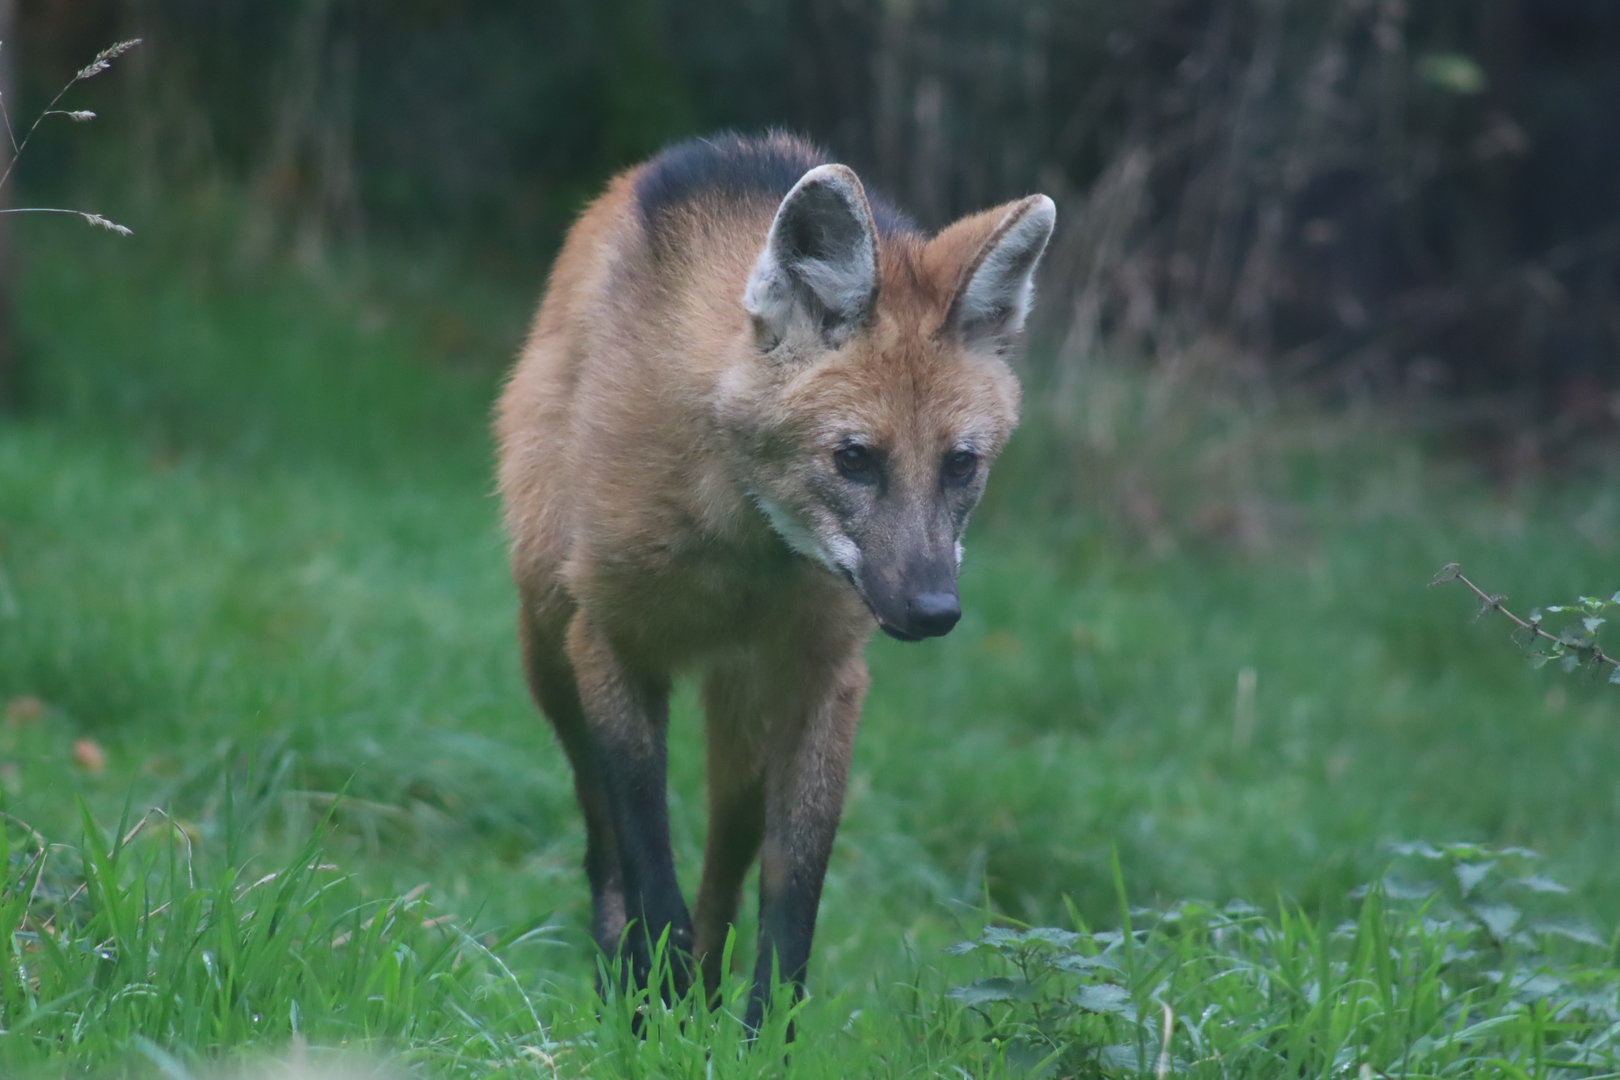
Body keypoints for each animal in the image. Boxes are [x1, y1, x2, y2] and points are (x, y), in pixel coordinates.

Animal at [495, 131, 1054, 1028]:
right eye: (854, 459)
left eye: (960, 465)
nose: (934, 610)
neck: (744, 545)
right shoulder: (608, 638)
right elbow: (644, 852)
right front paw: (650, 1010)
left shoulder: (824, 675)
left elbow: (791, 901)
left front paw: (751, 1035)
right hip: (547, 646)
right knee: (601, 828)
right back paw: (628, 976)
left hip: (746, 707)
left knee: (728, 846)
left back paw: (700, 990)